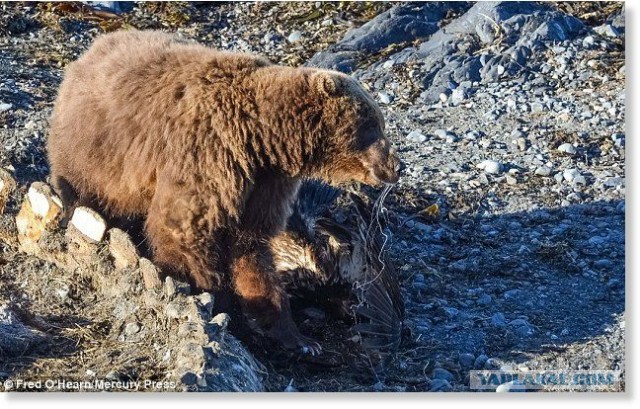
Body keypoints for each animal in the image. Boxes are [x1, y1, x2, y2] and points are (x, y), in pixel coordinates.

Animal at [47, 30, 400, 352]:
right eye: (374, 124)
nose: (396, 165)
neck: (262, 139)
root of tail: (86, 55)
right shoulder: (207, 154)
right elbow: (184, 231)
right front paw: (208, 298)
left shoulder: (264, 184)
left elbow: (252, 247)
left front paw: (294, 334)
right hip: (94, 155)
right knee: (86, 195)